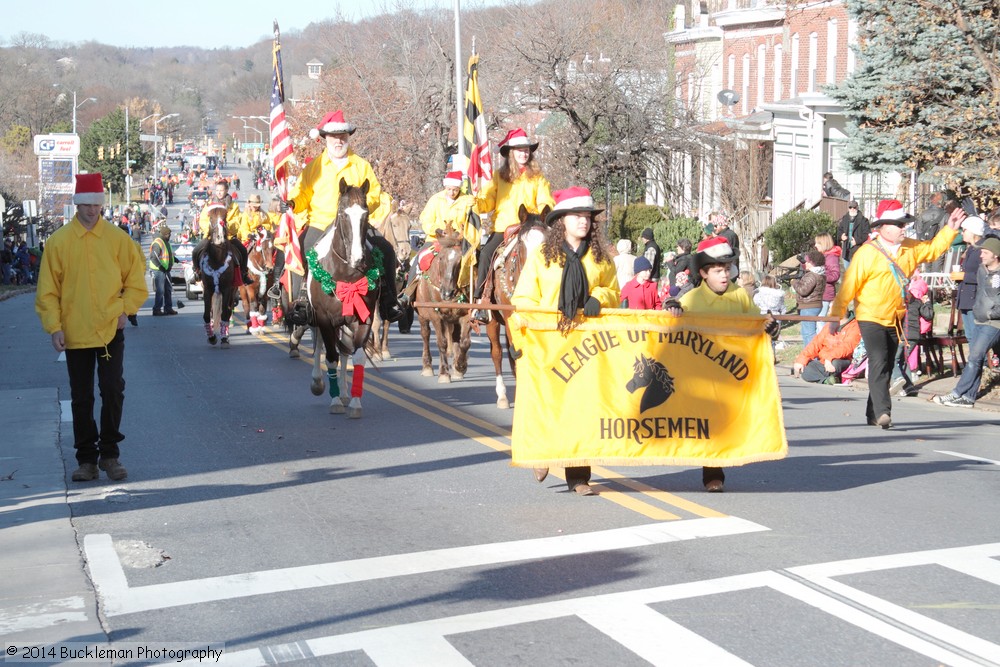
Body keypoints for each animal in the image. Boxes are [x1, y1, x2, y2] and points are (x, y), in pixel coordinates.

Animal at [300, 177, 378, 418]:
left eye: (366, 213)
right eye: (343, 214)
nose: (358, 258)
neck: (346, 272)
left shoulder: (363, 318)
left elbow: (357, 356)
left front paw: (354, 402)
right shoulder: (325, 318)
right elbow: (331, 357)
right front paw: (334, 400)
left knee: (344, 351)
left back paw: (344, 393)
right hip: (319, 318)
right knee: (319, 345)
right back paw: (318, 382)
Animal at [416, 223, 474, 380]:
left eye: (460, 261)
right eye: (441, 258)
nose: (447, 292)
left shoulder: (465, 315)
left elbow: (464, 342)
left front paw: (460, 366)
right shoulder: (436, 316)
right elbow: (441, 342)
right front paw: (444, 373)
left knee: (454, 339)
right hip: (422, 316)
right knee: (425, 334)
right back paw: (427, 366)